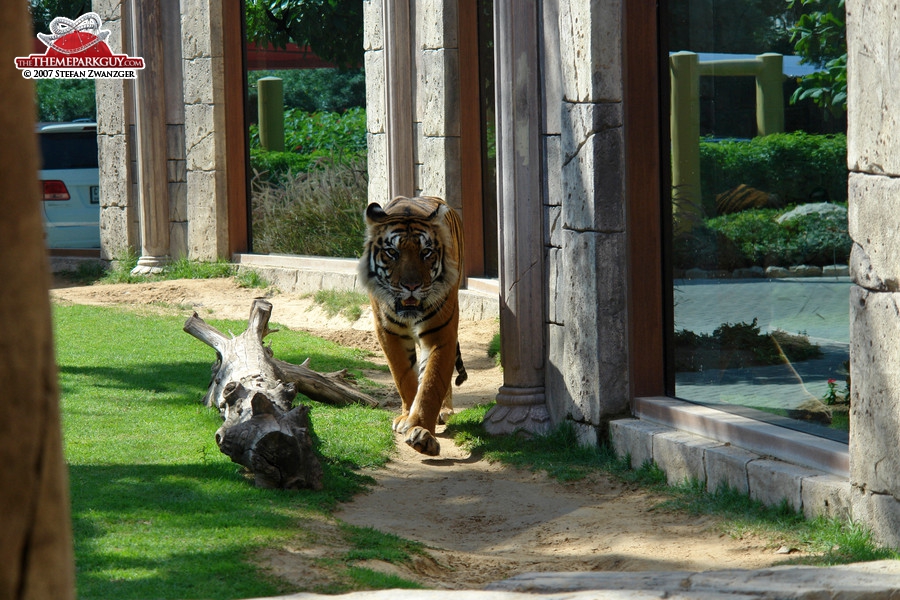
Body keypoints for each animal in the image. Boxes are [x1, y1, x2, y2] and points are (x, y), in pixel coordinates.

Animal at [360, 196, 472, 454]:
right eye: (392, 252)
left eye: (426, 252)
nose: (411, 286)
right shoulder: (388, 333)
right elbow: (404, 377)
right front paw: (406, 419)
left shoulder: (440, 333)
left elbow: (431, 382)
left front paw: (421, 431)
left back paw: (445, 411)